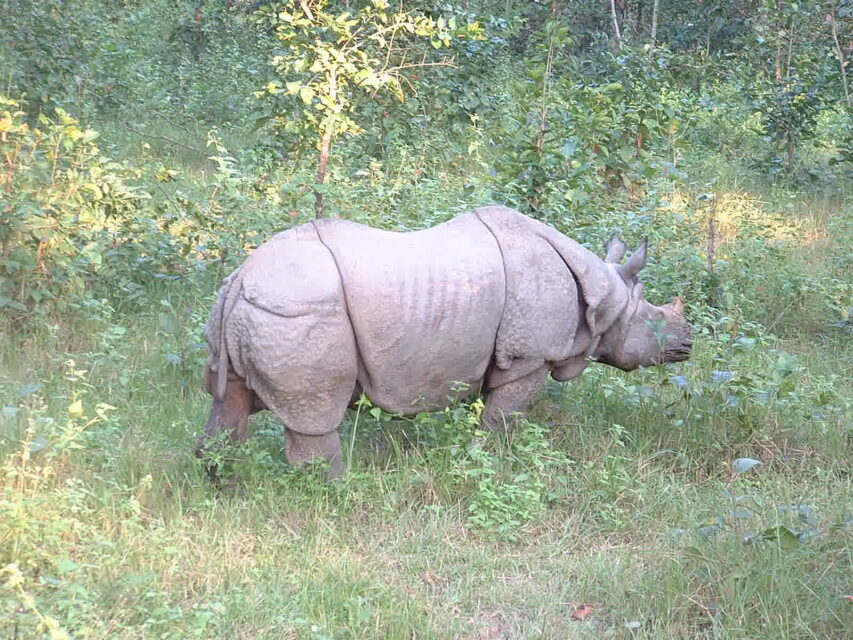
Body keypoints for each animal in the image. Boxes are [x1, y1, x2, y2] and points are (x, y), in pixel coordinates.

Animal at [197, 206, 691, 477]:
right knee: (314, 418)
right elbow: (502, 422)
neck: (605, 298)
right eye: (653, 319)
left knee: (228, 399)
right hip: (298, 313)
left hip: (246, 311)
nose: (687, 345)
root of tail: (241, 279)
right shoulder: (528, 357)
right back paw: (334, 492)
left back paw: (224, 484)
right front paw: (493, 462)